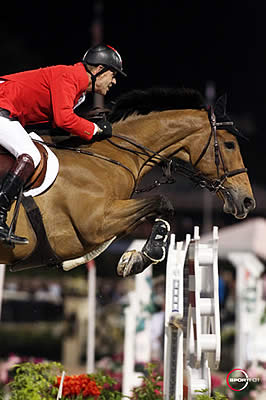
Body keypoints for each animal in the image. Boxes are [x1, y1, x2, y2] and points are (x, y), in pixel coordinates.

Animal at [1, 87, 256, 276]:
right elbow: (162, 202)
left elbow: (160, 211)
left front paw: (138, 258)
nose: (247, 201)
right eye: (230, 145)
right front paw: (145, 255)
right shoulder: (96, 224)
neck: (108, 156)